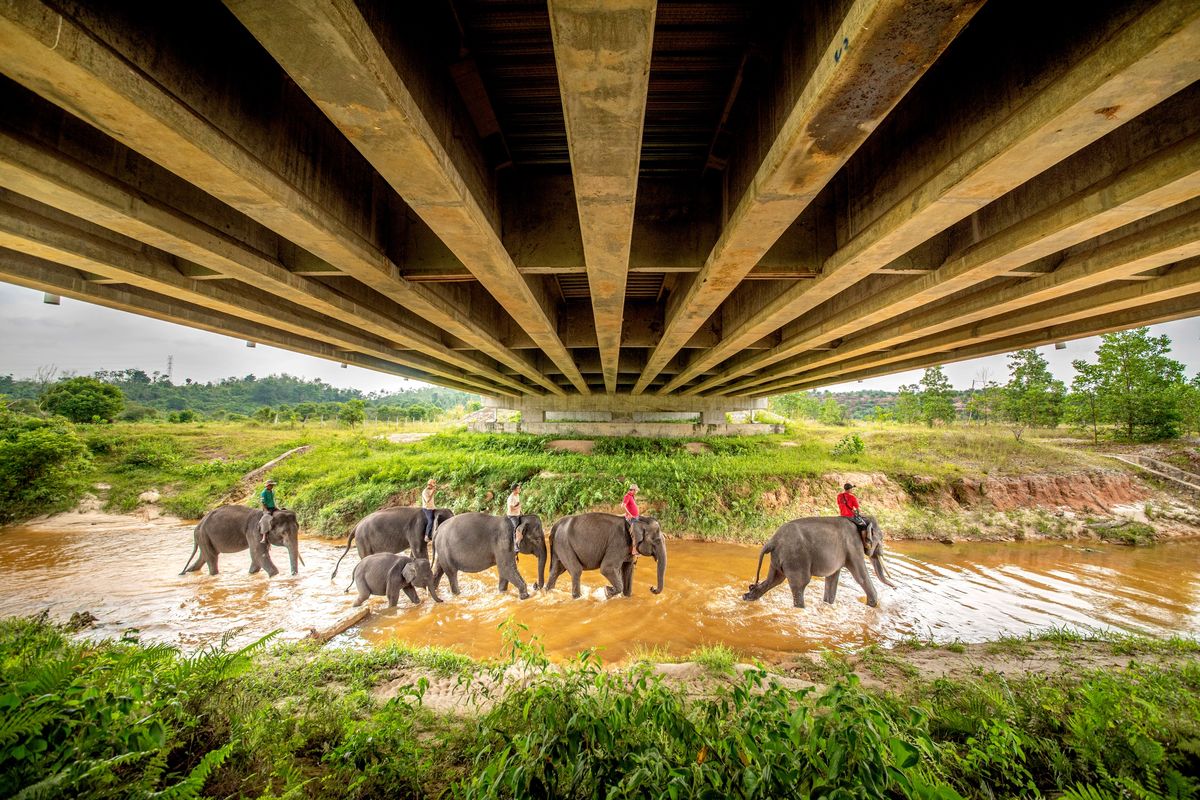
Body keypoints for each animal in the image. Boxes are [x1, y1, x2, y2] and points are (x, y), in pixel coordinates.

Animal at [739, 515, 902, 609]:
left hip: (778, 558)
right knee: (800, 585)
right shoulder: (853, 546)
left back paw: (747, 597)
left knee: (774, 580)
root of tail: (772, 541)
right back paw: (801, 609)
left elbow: (832, 578)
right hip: (796, 558)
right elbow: (860, 576)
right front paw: (872, 605)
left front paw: (828, 604)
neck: (861, 519)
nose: (896, 588)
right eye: (881, 538)